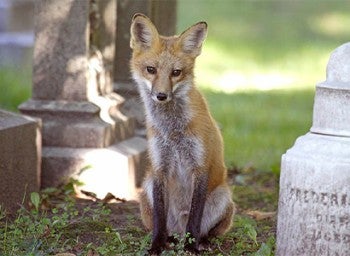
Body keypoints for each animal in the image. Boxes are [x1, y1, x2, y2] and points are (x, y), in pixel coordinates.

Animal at [129, 13, 235, 253]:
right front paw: (157, 245)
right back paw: (170, 239)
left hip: (224, 197)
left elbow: (195, 215)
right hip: (147, 187)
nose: (161, 95)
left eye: (176, 73)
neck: (173, 131)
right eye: (151, 69)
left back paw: (200, 241)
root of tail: (178, 228)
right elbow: (160, 216)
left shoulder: (200, 165)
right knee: (164, 225)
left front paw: (192, 247)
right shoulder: (159, 167)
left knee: (206, 230)